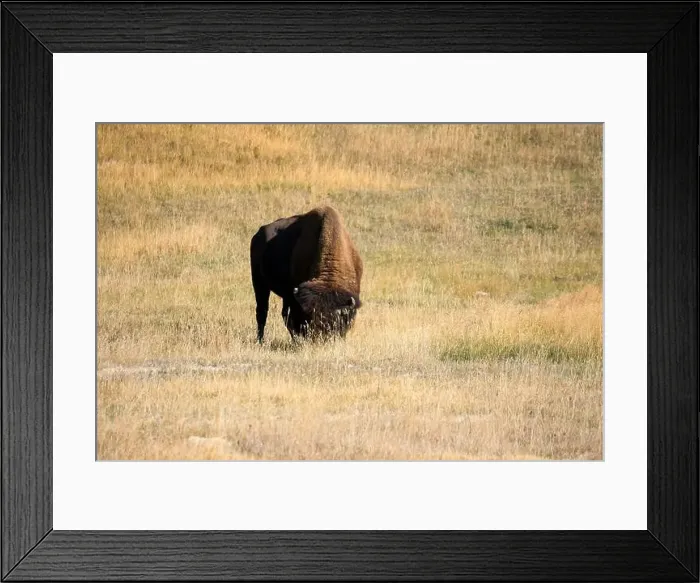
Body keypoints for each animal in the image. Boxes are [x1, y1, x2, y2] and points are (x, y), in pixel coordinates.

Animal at [250, 206, 363, 343]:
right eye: (311, 317)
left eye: (336, 320)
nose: (322, 338)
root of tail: (257, 235)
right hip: (259, 283)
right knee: (262, 312)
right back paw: (261, 341)